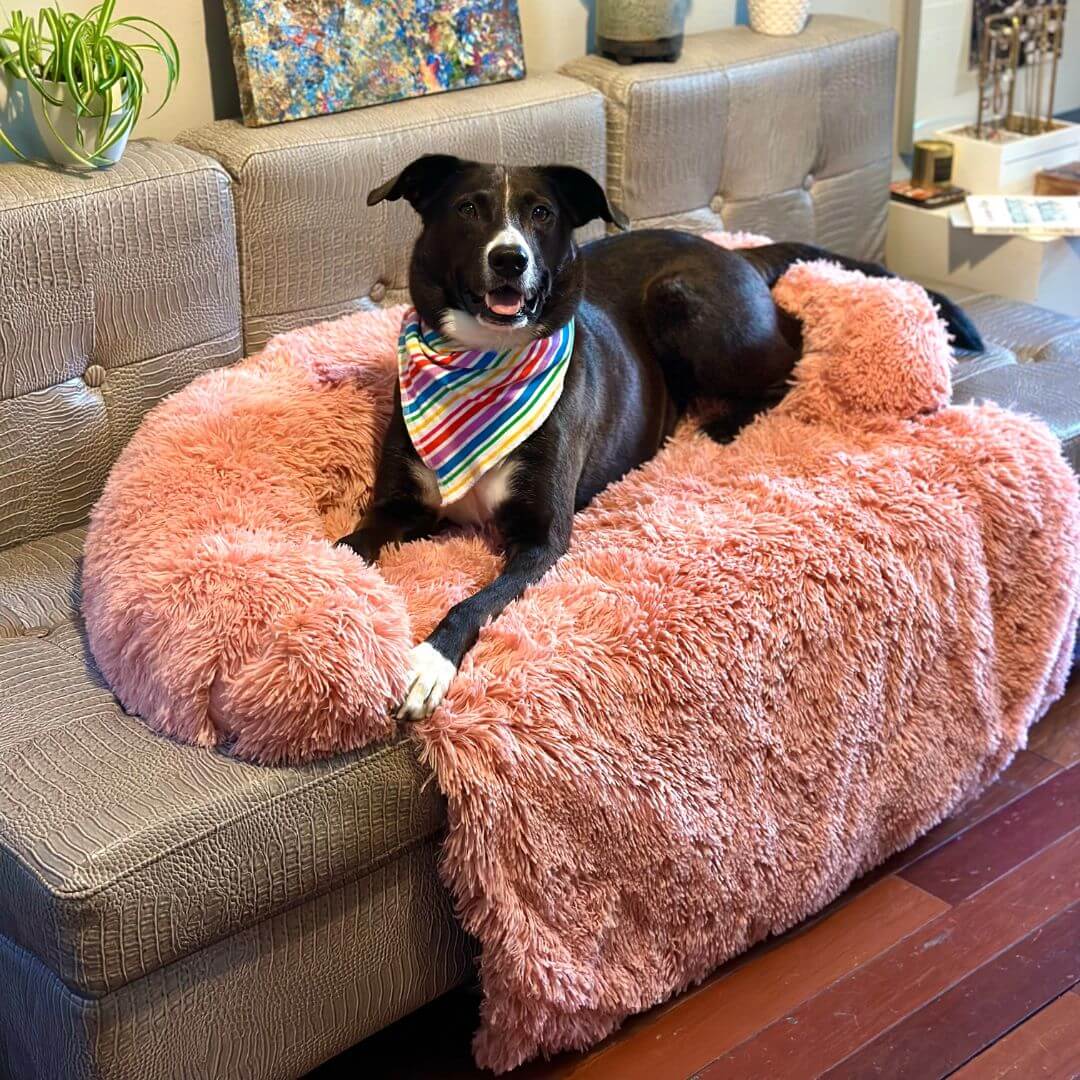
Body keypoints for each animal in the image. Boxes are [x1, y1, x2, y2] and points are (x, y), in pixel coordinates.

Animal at [339, 156, 989, 721]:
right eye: (468, 208)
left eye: (541, 213)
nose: (509, 259)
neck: (484, 358)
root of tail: (734, 252)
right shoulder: (400, 506)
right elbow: (350, 546)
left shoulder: (542, 540)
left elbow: (473, 602)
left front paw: (430, 661)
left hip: (684, 300)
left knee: (794, 355)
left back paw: (725, 421)